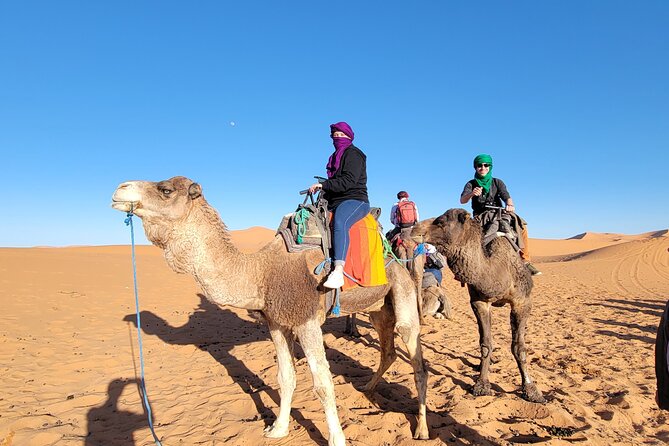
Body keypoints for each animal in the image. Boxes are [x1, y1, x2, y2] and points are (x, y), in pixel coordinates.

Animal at [111, 176, 429, 445]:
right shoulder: (276, 323)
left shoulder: (306, 321)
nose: (120, 188)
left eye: (165, 189)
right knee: (387, 350)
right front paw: (277, 429)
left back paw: (422, 430)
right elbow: (285, 377)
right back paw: (368, 390)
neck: (261, 272)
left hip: (402, 289)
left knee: (416, 358)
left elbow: (323, 384)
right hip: (378, 308)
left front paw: (337, 439)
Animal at [412, 208, 545, 403]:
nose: (413, 230)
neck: (498, 270)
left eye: (441, 221)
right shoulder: (480, 302)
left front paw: (531, 390)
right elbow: (485, 344)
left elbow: (519, 347)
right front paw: (482, 385)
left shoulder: (522, 303)